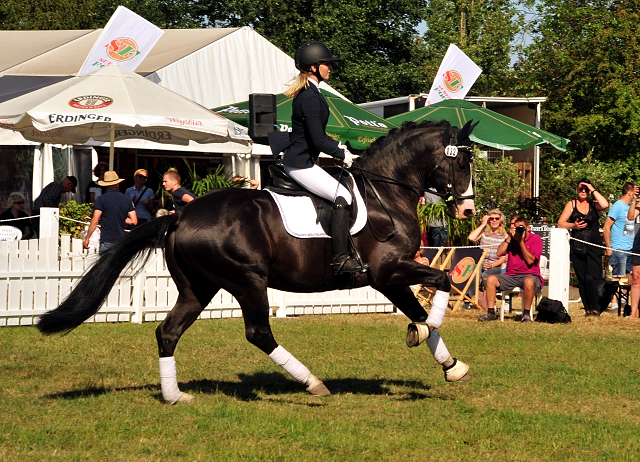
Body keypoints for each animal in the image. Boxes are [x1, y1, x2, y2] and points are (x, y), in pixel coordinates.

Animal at [35, 120, 476, 404]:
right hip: (247, 280)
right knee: (258, 332)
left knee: (168, 332)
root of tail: (181, 215)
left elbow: (421, 305)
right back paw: (313, 383)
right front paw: (426, 332)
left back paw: (176, 396)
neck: (386, 193)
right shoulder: (387, 270)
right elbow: (441, 283)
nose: (468, 211)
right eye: (462, 162)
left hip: (198, 288)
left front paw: (450, 364)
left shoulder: (388, 277)